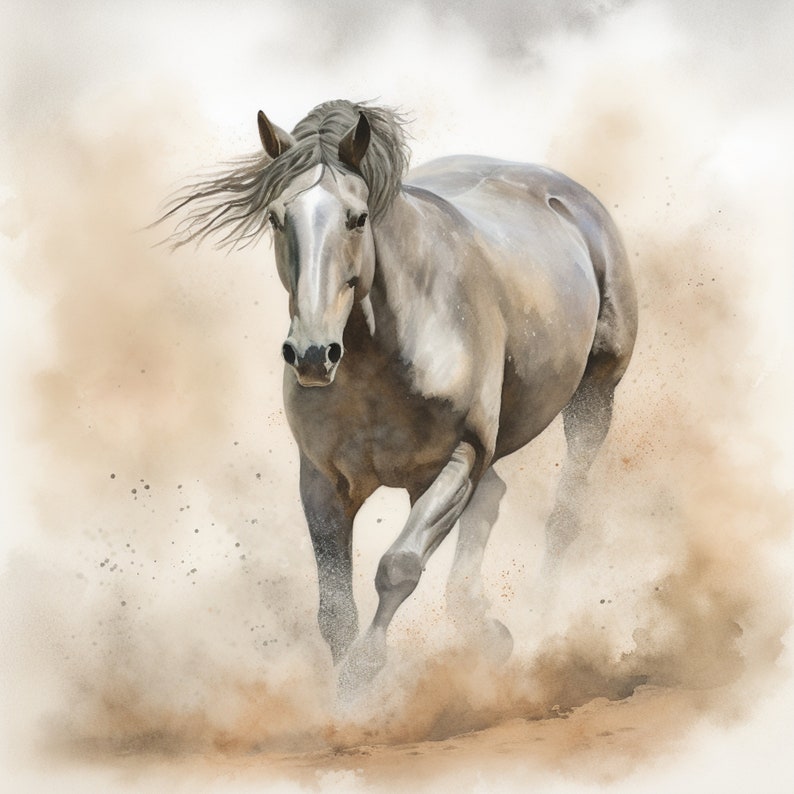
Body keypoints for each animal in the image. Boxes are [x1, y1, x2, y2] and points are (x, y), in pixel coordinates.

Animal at [161, 100, 638, 689]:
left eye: (357, 217)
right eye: (275, 217)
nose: (313, 354)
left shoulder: (456, 460)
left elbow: (399, 566)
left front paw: (364, 676)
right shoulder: (323, 482)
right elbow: (335, 609)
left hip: (595, 395)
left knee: (565, 512)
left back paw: (537, 620)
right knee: (494, 498)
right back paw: (486, 630)